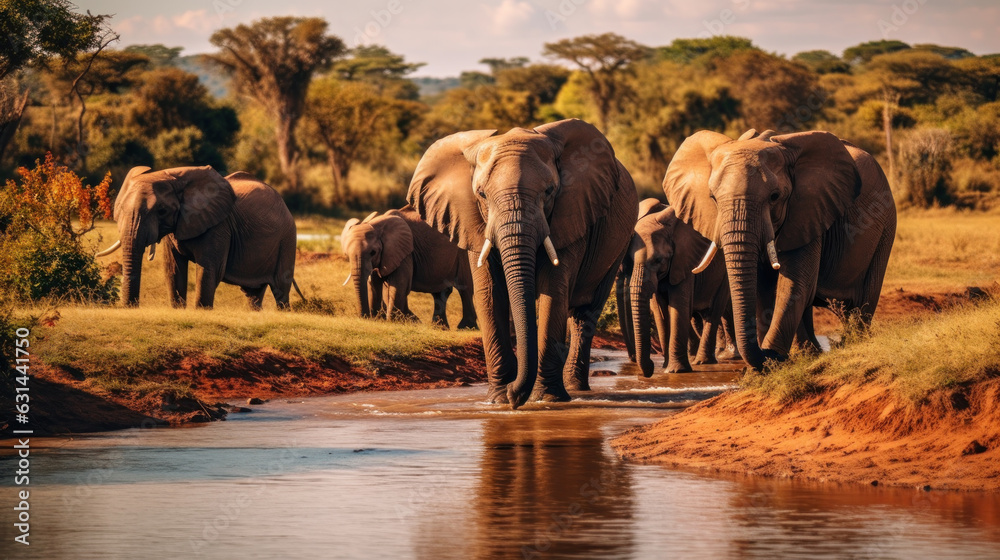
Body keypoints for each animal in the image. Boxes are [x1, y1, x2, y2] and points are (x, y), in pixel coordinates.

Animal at [96, 166, 301, 309]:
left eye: (162, 211)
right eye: (120, 209)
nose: (132, 306)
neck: (172, 177)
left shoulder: (218, 225)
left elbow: (209, 270)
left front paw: (201, 311)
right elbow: (173, 269)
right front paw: (178, 310)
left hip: (287, 238)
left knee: (281, 289)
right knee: (253, 293)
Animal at [340, 206, 477, 329]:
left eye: (373, 252)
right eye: (347, 254)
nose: (364, 317)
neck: (378, 225)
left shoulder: (405, 252)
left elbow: (399, 284)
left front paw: (394, 321)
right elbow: (375, 283)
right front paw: (382, 319)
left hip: (463, 251)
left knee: (465, 287)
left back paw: (466, 327)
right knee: (440, 292)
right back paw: (439, 327)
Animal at [407, 118, 638, 408]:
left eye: (549, 191)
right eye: (481, 194)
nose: (515, 397)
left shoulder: (571, 212)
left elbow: (554, 290)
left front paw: (544, 399)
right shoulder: (473, 222)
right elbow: (490, 293)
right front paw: (497, 400)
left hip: (618, 242)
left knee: (585, 313)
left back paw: (576, 388)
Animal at [617, 198, 729, 377]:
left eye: (658, 260)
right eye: (631, 261)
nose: (650, 369)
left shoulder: (684, 261)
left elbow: (679, 306)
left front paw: (676, 371)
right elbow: (660, 310)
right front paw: (665, 367)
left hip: (724, 272)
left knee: (714, 310)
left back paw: (702, 361)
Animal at [663, 128, 896, 369]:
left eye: (774, 197)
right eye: (713, 198)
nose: (767, 354)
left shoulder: (807, 212)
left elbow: (794, 284)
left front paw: (770, 360)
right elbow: (763, 287)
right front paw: (770, 362)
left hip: (885, 225)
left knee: (864, 298)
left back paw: (852, 342)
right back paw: (811, 352)